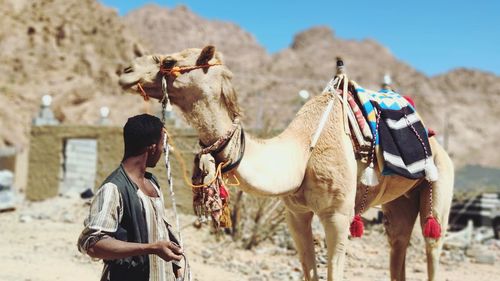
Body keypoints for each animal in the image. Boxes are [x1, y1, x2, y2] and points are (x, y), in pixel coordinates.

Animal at [119, 46, 456, 280]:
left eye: (168, 62)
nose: (125, 70)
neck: (302, 153)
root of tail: (435, 140)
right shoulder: (296, 213)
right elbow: (309, 271)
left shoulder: (338, 215)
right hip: (399, 201)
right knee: (398, 242)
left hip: (440, 178)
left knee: (432, 241)